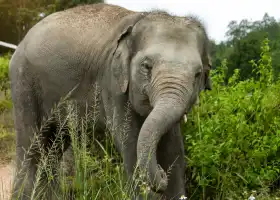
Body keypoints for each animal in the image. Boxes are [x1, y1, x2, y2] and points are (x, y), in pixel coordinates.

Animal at [8, 2, 212, 200]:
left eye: (198, 74)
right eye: (146, 66)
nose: (161, 176)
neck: (139, 19)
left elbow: (174, 148)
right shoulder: (113, 83)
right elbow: (130, 142)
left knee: (53, 146)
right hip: (24, 84)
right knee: (32, 146)